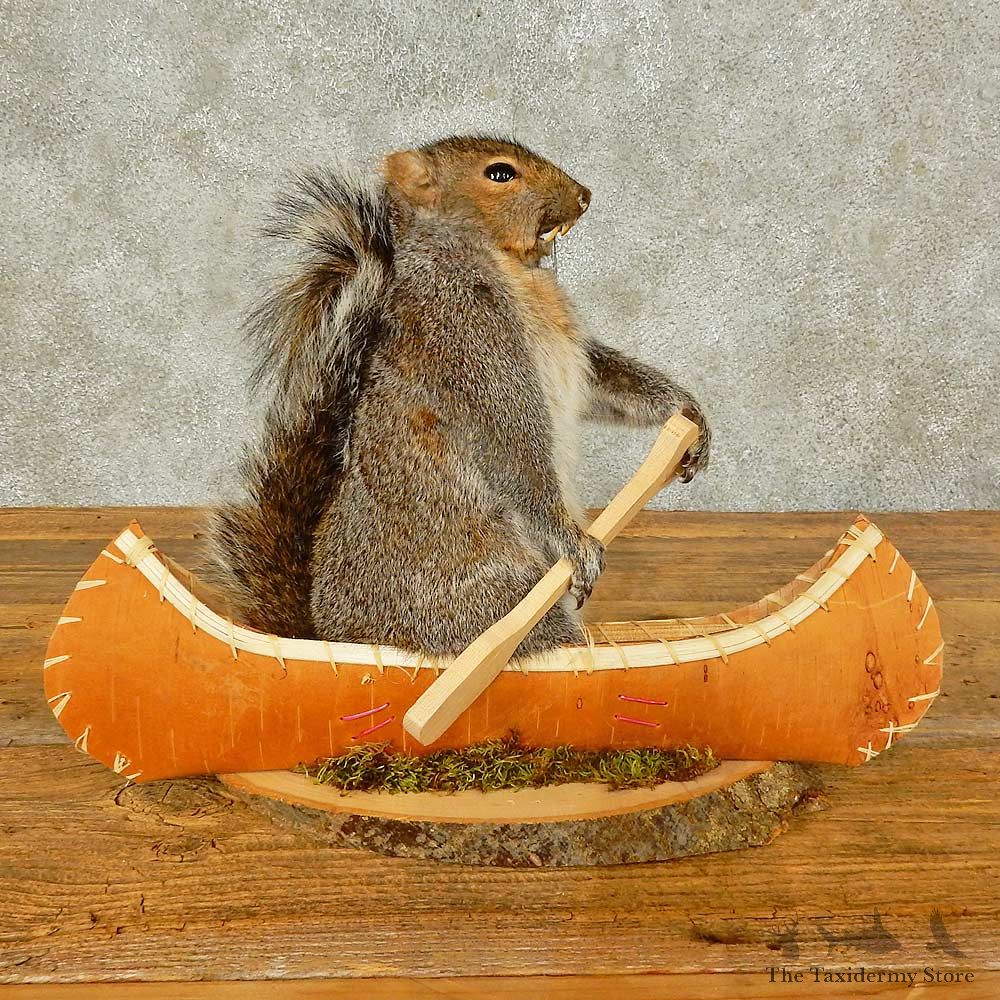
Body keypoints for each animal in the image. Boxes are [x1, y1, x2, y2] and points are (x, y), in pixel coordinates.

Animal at [208, 135, 710, 658]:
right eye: (499, 173)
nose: (584, 196)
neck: (501, 263)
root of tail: (334, 634)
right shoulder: (472, 347)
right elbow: (516, 454)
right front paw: (574, 544)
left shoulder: (574, 357)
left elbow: (605, 382)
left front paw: (686, 411)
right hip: (495, 599)